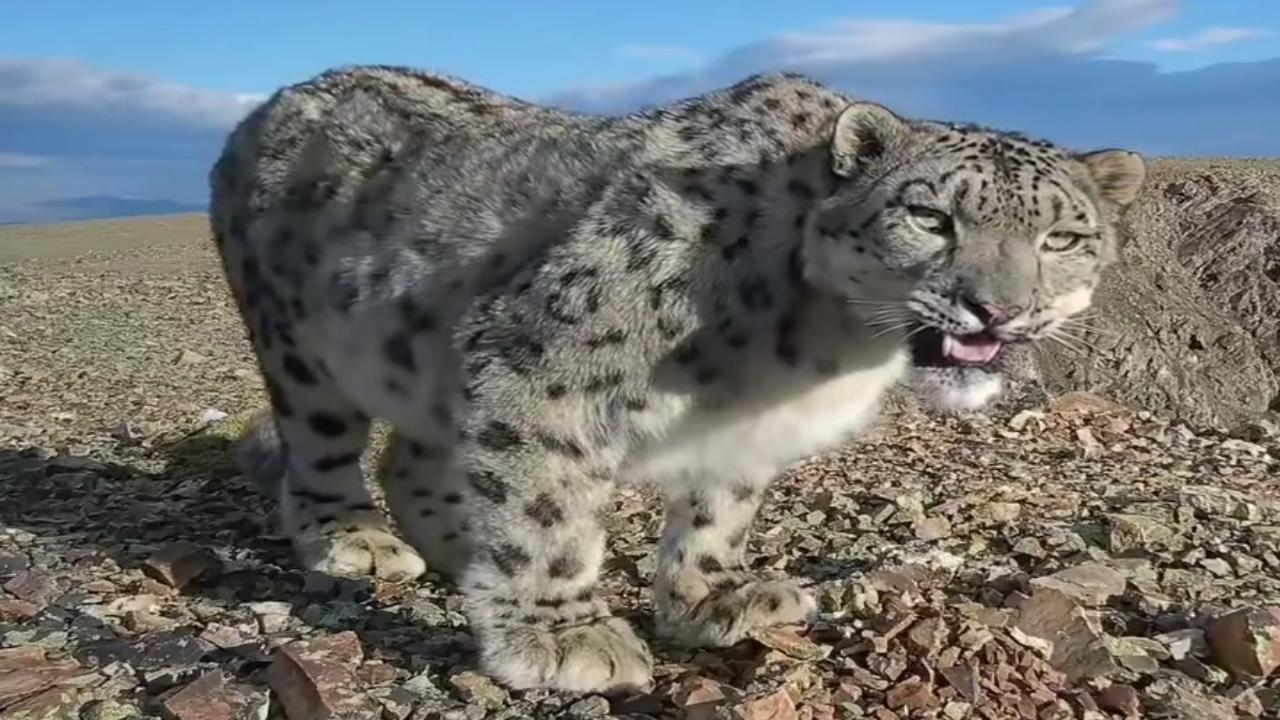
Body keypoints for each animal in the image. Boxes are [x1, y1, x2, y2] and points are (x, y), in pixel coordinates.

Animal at [208, 64, 1145, 694]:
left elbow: (719, 511)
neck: (823, 352)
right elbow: (548, 510)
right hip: (300, 349)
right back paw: (355, 540)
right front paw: (563, 638)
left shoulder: (746, 429)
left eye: (1063, 237)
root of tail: (274, 99)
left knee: (416, 457)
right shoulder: (538, 360)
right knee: (323, 449)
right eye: (930, 217)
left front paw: (716, 597)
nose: (998, 309)